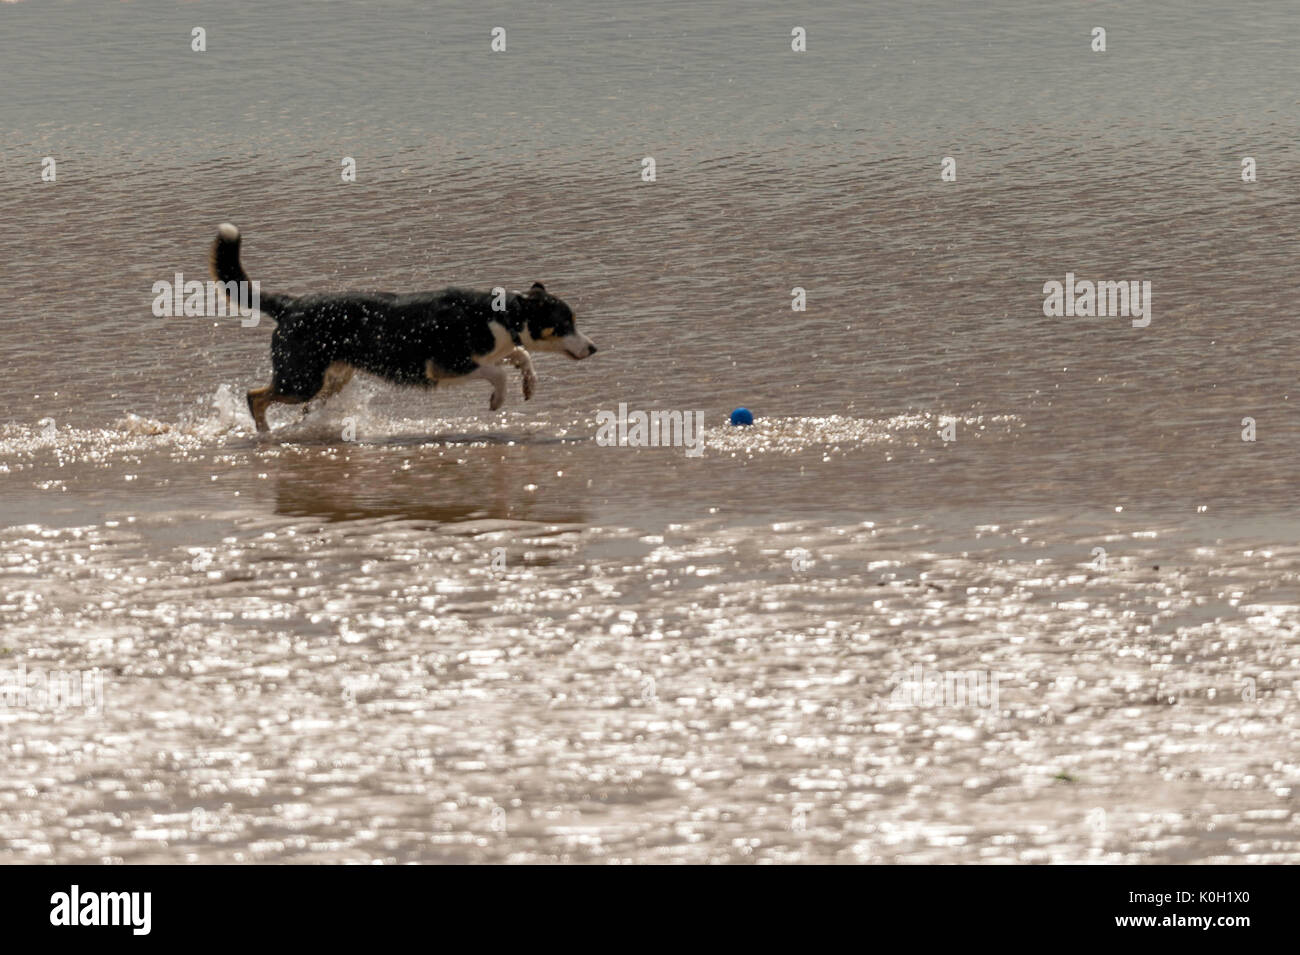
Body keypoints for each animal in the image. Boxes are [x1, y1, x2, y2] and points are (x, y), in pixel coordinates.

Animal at [209, 223, 598, 433]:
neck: (501, 316)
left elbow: (519, 354)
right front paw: (498, 399)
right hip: (301, 379)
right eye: (565, 324)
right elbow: (498, 372)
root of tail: (290, 304)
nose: (594, 348)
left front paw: (529, 383)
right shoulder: (447, 365)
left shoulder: (489, 351)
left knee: (295, 405)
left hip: (331, 379)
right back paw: (264, 433)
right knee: (255, 396)